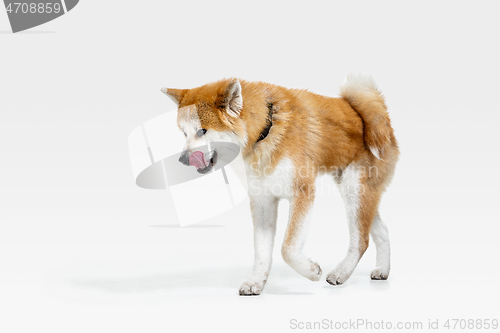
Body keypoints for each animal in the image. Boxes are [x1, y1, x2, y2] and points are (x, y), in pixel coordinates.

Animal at [162, 74, 400, 294]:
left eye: (202, 131)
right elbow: (261, 251)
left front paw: (311, 271)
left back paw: (340, 273)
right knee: (381, 232)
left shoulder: (302, 193)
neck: (265, 131)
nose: (182, 159)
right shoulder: (263, 201)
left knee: (361, 240)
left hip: (354, 192)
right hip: (358, 195)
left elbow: (287, 249)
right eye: (184, 132)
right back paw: (383, 270)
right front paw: (256, 281)